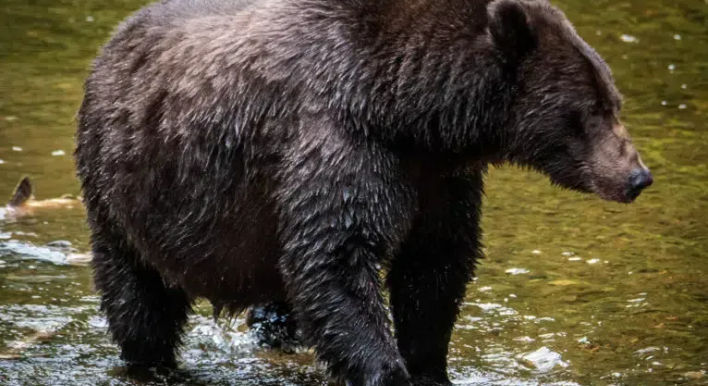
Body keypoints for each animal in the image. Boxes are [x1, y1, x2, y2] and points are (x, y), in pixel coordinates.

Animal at [76, 0, 652, 384]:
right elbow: (337, 259)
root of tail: (112, 41)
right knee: (138, 298)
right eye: (592, 108)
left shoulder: (439, 181)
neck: (410, 113)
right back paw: (151, 361)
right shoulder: (343, 144)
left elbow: (434, 266)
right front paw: (386, 368)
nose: (638, 177)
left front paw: (427, 360)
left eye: (613, 99)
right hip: (125, 194)